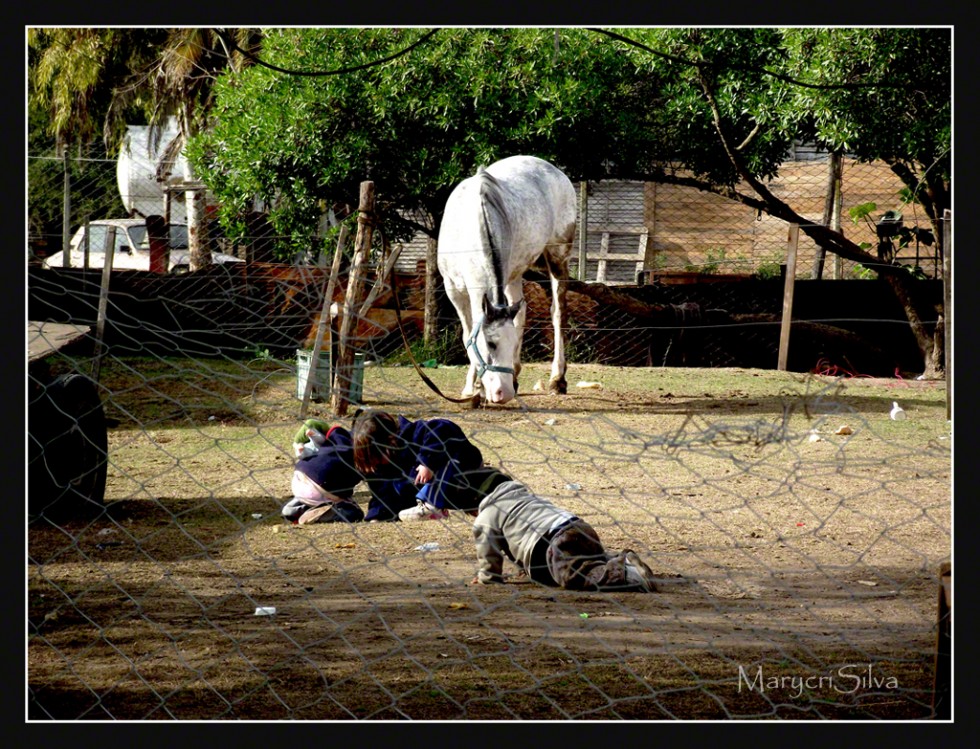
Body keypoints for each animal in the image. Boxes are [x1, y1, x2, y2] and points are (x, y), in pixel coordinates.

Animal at [434, 154, 576, 406]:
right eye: (491, 344)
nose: (505, 392)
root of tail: (555, 171)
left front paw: (478, 388)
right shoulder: (454, 291)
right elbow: (467, 335)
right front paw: (471, 388)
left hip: (558, 257)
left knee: (558, 313)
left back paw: (556, 380)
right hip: (514, 274)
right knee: (521, 311)